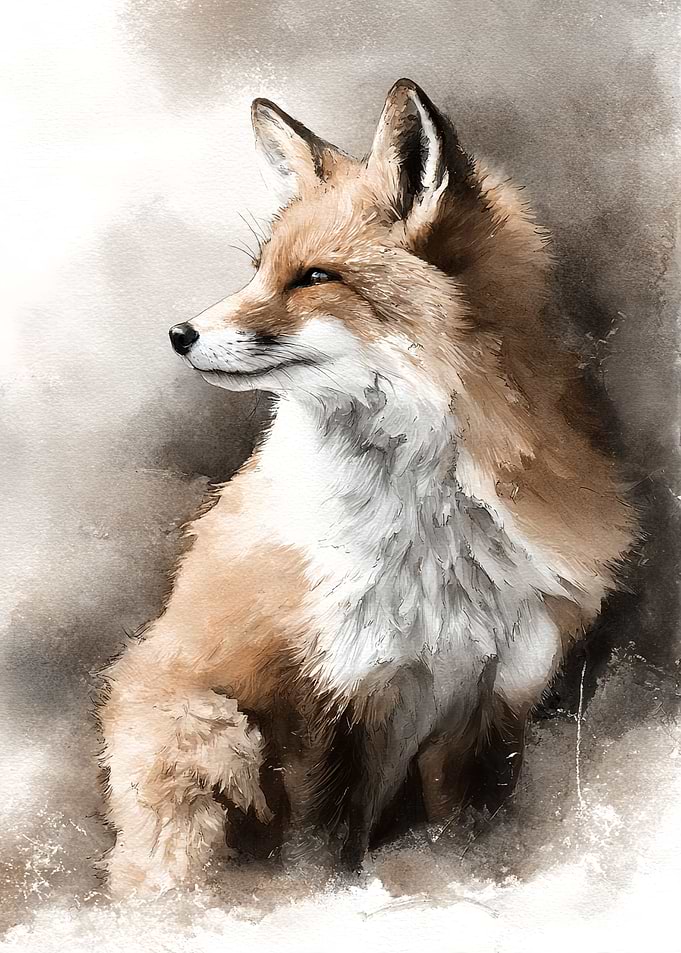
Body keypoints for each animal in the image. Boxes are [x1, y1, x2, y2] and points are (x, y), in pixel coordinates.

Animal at [98, 79, 637, 897]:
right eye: (260, 269)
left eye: (314, 277)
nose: (179, 334)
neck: (437, 537)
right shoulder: (337, 696)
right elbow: (323, 859)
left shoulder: (500, 699)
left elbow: (474, 841)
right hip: (218, 739)